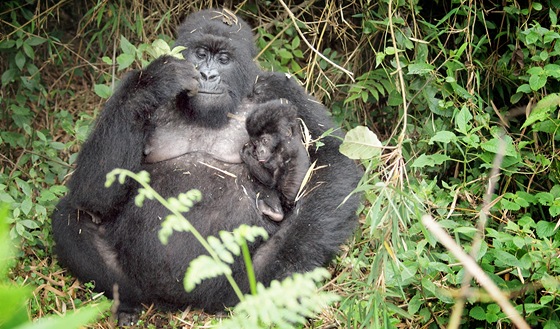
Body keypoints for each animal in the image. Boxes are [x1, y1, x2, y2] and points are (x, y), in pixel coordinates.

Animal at [50, 8, 360, 322]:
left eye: (223, 59)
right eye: (200, 54)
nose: (207, 74)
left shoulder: (281, 87)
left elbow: (332, 160)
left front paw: (290, 256)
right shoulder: (127, 88)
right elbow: (96, 191)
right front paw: (156, 81)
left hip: (234, 288)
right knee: (72, 215)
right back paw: (126, 302)